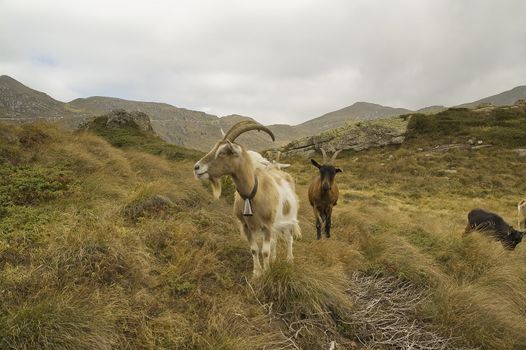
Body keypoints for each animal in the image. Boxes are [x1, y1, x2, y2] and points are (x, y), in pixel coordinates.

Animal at [194, 121, 302, 278]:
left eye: (223, 152)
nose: (196, 168)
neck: (251, 195)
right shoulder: (246, 226)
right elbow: (254, 250)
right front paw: (257, 273)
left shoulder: (267, 225)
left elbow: (265, 251)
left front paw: (266, 272)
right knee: (276, 240)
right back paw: (274, 259)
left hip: (289, 219)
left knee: (289, 238)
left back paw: (289, 260)